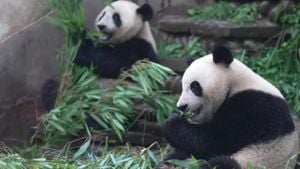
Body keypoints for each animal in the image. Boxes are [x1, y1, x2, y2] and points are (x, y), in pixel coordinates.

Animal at [159, 46, 298, 169]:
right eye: (183, 86)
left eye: (195, 86)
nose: (181, 106)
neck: (236, 82)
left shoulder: (254, 106)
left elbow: (218, 141)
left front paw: (171, 122)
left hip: (256, 159)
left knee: (221, 164)